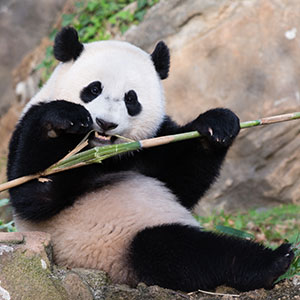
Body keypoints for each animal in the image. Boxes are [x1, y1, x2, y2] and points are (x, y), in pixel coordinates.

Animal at [7, 27, 292, 292]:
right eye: (94, 89)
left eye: (131, 98)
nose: (105, 123)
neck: (105, 155)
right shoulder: (26, 128)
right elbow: (35, 193)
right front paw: (62, 122)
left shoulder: (152, 143)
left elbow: (182, 182)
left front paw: (217, 126)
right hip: (110, 248)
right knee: (176, 250)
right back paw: (272, 262)